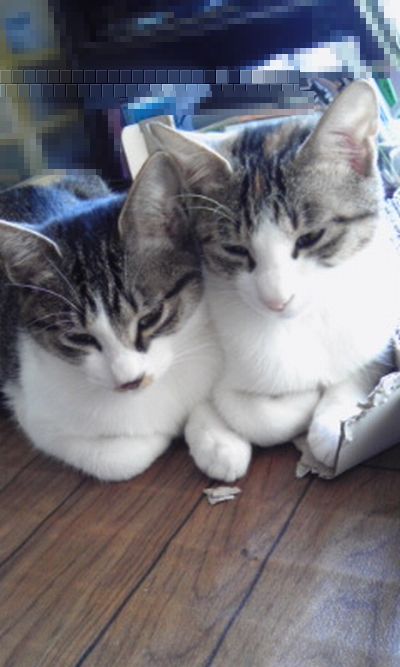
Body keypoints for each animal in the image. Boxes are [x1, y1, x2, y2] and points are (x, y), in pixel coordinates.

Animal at [0, 152, 219, 481]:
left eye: (150, 317)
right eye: (79, 337)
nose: (131, 381)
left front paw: (217, 442)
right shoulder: (35, 414)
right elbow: (117, 459)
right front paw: (167, 433)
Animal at [150, 79, 400, 481]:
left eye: (310, 237)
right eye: (235, 249)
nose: (276, 300)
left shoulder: (380, 333)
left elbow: (358, 369)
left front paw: (331, 420)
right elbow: (237, 404)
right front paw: (217, 439)